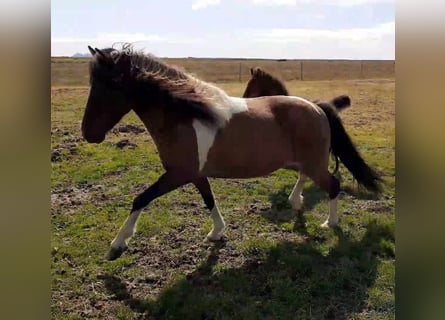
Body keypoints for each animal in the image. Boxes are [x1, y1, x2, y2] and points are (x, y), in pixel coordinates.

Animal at [80, 44, 378, 260]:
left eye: (111, 85)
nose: (88, 134)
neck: (185, 115)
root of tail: (317, 107)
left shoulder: (177, 174)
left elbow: (141, 199)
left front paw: (118, 243)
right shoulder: (194, 174)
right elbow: (208, 199)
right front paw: (217, 233)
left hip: (314, 163)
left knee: (333, 184)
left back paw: (330, 223)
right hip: (301, 162)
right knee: (309, 178)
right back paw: (296, 202)